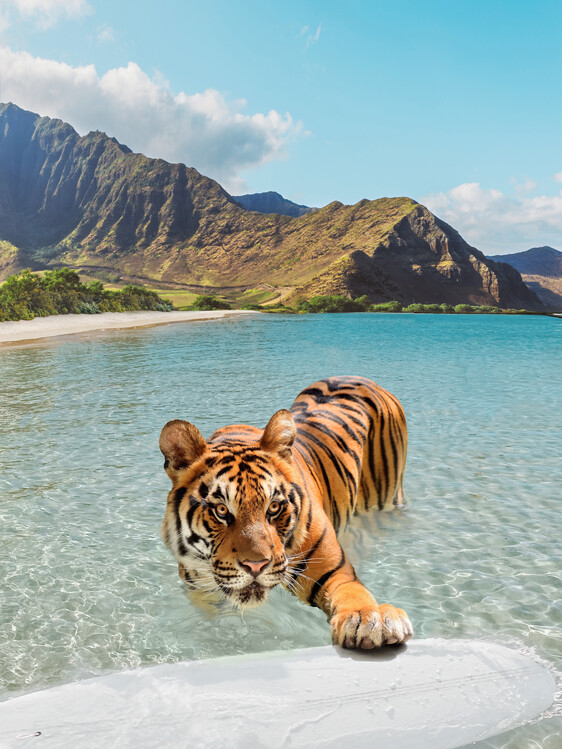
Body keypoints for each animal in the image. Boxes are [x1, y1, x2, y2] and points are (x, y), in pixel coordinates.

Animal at [159, 376, 412, 649]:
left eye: (273, 507)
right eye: (221, 510)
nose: (256, 566)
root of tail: (360, 377)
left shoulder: (335, 572)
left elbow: (352, 592)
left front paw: (371, 619)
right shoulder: (200, 588)